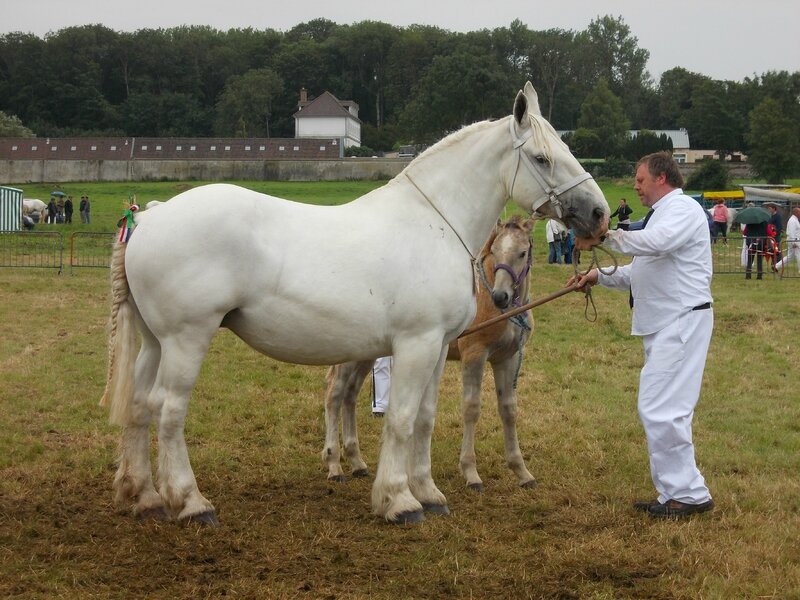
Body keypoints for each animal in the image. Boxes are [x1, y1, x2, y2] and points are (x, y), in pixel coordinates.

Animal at [324, 218, 536, 490]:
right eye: (495, 250)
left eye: (522, 253)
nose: (502, 296)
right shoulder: (475, 355)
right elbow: (471, 408)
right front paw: (471, 473)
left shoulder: (507, 359)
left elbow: (508, 410)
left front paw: (522, 471)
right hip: (350, 357)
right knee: (335, 394)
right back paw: (334, 465)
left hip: (365, 355)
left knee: (350, 395)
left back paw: (357, 462)